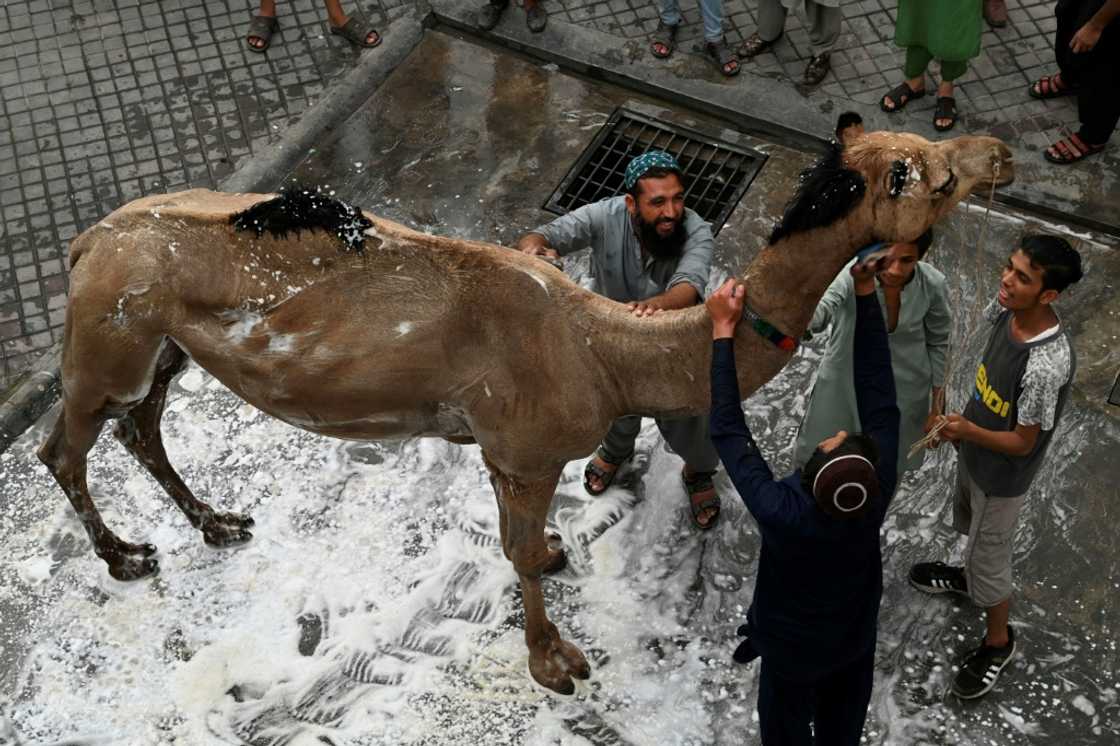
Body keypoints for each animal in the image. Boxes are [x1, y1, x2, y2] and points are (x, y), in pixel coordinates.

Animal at [38, 130, 1012, 694]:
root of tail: (83, 241)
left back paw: (218, 524)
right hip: (108, 332)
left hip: (161, 342)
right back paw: (126, 558)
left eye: (930, 143)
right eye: (927, 175)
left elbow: (527, 549)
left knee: (141, 424)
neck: (608, 350)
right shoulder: (520, 451)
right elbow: (512, 559)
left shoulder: (514, 452)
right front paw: (556, 663)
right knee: (66, 445)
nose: (1000, 152)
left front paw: (552, 551)